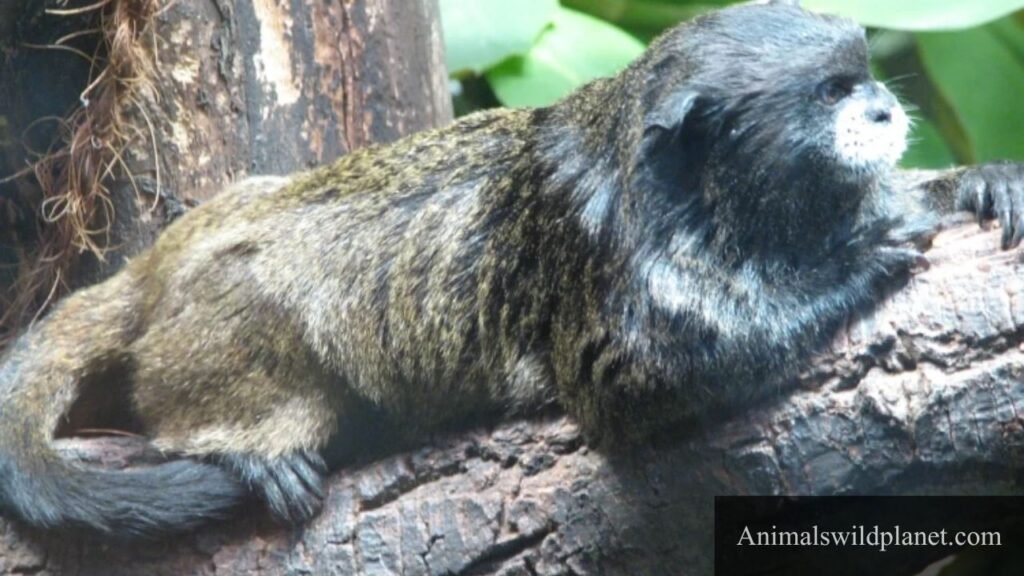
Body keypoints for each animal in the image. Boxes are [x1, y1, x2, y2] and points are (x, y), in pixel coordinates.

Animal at [1, 0, 1023, 538]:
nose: (884, 108)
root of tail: (160, 266)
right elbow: (629, 378)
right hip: (223, 317)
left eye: (866, 77)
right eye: (833, 94)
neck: (716, 201)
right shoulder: (611, 259)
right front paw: (854, 270)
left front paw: (978, 184)